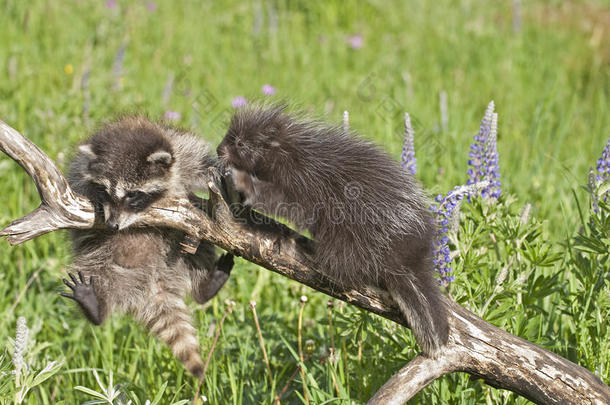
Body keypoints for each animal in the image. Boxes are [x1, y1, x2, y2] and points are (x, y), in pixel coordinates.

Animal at [61, 116, 233, 376]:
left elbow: (206, 165)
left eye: (132, 194)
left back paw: (206, 285)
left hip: (179, 256)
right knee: (95, 271)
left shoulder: (184, 151)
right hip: (104, 263)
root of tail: (154, 285)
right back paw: (94, 306)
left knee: (200, 249)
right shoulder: (80, 170)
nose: (112, 225)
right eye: (104, 190)